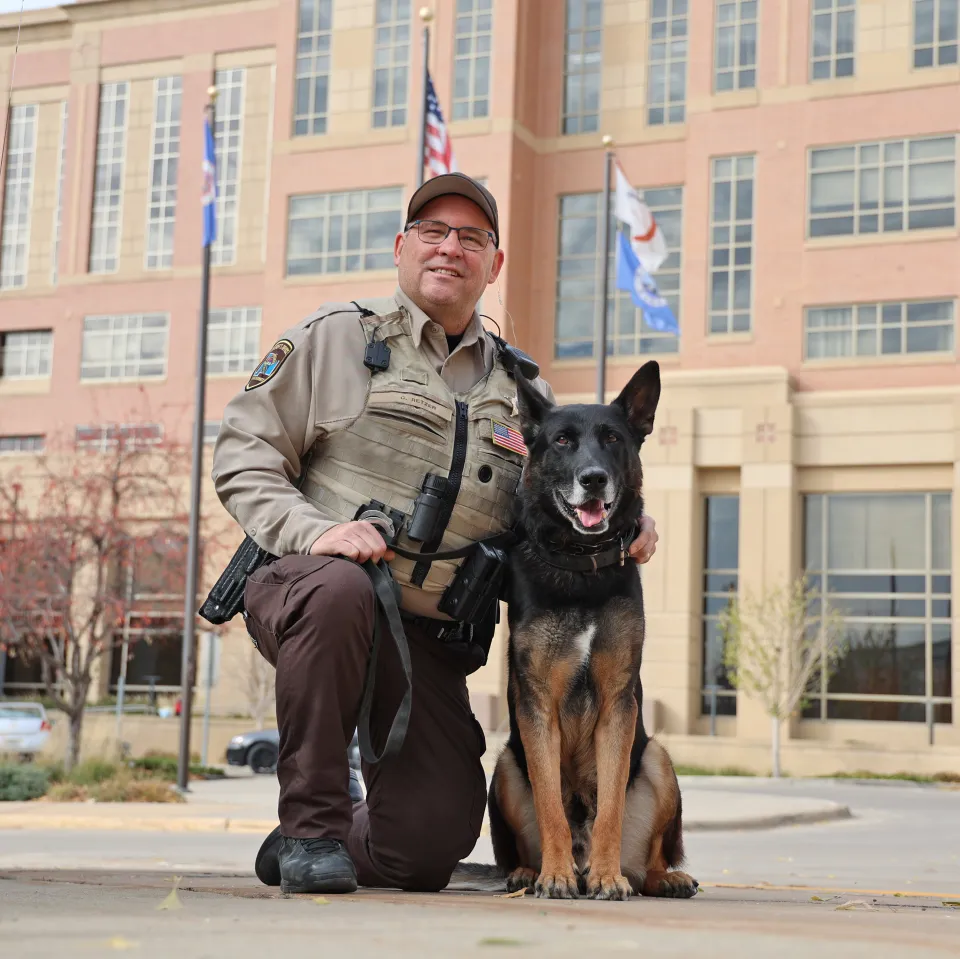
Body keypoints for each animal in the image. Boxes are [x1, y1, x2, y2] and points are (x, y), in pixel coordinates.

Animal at [480, 364, 696, 904]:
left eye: (612, 438)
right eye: (562, 440)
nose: (593, 478)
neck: (581, 566)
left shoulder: (618, 702)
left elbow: (611, 809)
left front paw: (606, 876)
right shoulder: (537, 705)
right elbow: (552, 808)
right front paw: (554, 876)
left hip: (658, 759)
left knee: (651, 860)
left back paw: (655, 877)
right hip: (506, 766)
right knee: (523, 841)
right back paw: (534, 871)